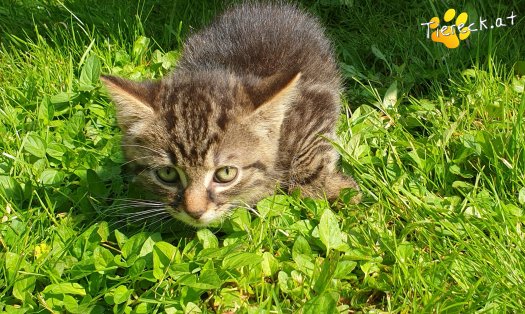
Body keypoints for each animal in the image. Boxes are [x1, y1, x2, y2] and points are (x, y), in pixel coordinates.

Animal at [100, 3, 358, 228]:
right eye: (167, 173)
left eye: (225, 174)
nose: (195, 212)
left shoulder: (317, 103)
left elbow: (309, 161)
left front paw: (335, 190)